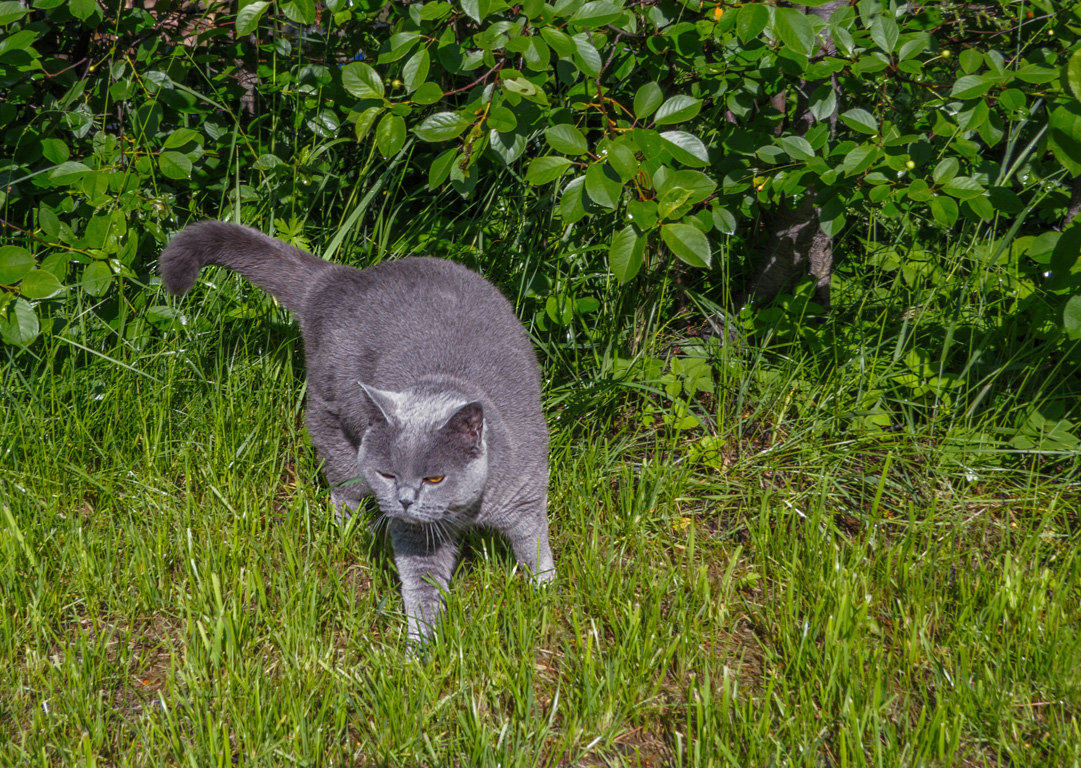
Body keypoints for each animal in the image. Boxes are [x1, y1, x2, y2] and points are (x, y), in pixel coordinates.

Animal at [157, 222, 557, 644]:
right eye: (388, 475)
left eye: (435, 478)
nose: (404, 501)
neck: (465, 512)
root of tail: (340, 279)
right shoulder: (417, 536)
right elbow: (422, 586)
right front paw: (421, 647)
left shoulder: (526, 496)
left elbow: (533, 545)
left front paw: (545, 594)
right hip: (330, 420)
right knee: (341, 488)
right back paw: (345, 531)